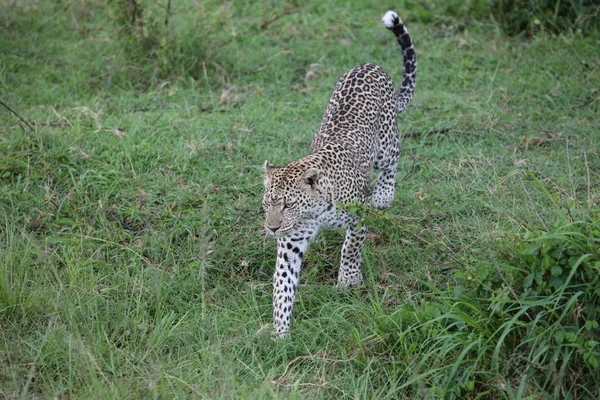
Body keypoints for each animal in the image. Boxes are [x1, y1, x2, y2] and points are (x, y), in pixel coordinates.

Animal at [262, 10, 418, 338]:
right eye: (267, 204)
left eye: (288, 204)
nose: (271, 228)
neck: (315, 212)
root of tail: (370, 65)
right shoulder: (290, 244)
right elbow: (283, 285)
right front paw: (280, 332)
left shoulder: (357, 215)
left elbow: (351, 246)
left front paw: (348, 279)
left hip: (385, 142)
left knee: (393, 159)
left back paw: (384, 195)